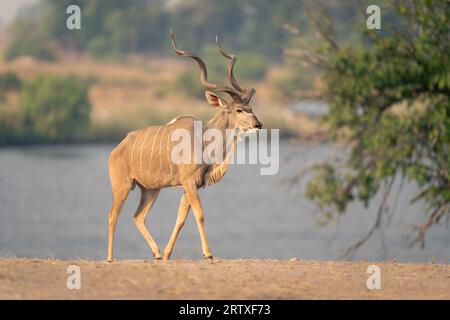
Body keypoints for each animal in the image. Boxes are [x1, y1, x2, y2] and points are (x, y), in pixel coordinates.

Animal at [107, 30, 262, 262]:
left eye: (250, 107)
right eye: (239, 110)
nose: (258, 125)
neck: (204, 140)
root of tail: (117, 149)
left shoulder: (191, 186)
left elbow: (181, 219)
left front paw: (167, 255)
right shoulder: (189, 182)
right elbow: (200, 214)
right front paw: (208, 254)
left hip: (150, 190)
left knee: (138, 217)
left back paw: (156, 253)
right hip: (123, 186)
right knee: (112, 215)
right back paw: (110, 257)